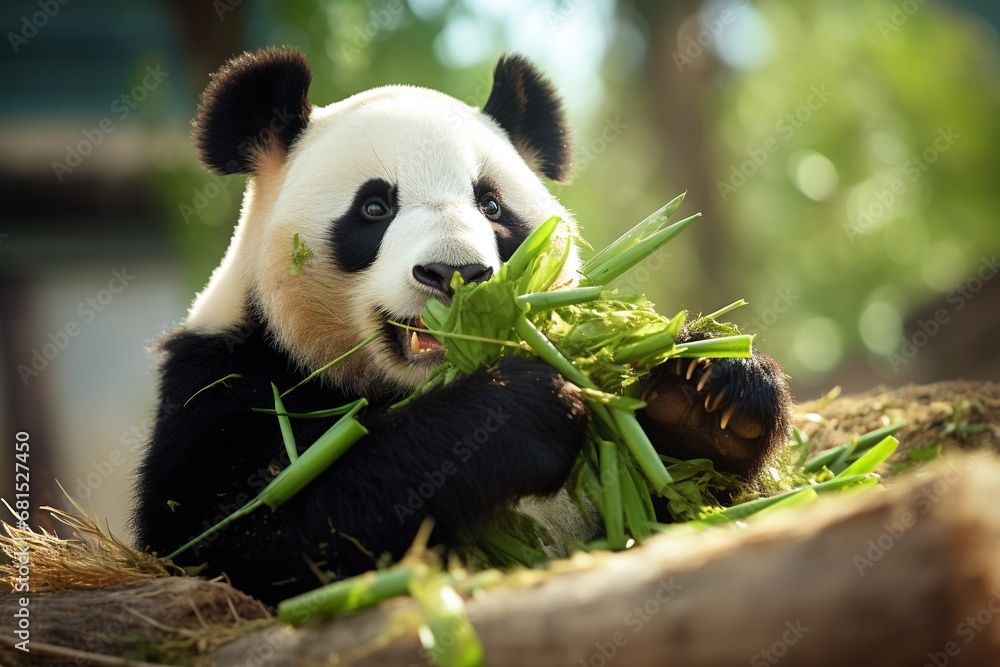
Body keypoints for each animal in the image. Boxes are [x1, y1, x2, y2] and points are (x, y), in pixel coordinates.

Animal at [133, 47, 791, 606]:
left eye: (491, 205)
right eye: (374, 207)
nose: (455, 272)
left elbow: (665, 508)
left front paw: (711, 395)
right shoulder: (227, 378)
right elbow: (232, 536)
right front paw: (514, 408)